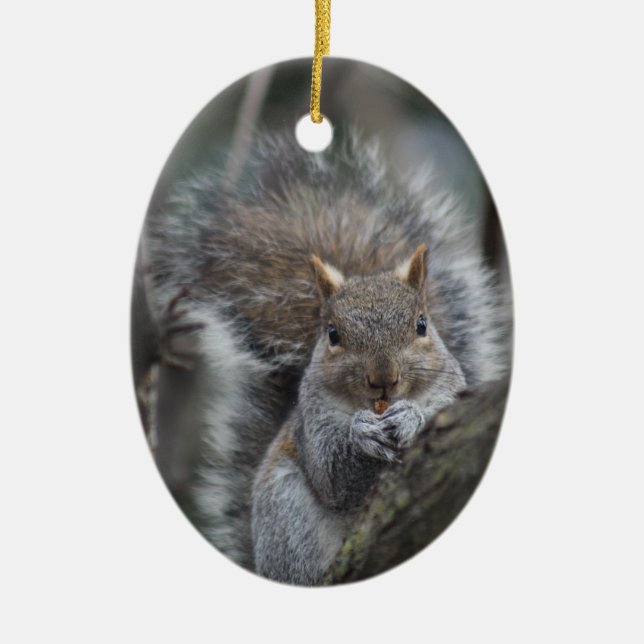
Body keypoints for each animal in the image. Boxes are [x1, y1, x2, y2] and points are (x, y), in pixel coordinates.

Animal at [134, 128, 511, 584]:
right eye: (332, 334)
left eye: (422, 325)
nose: (383, 379)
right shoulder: (312, 422)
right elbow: (334, 477)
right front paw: (362, 434)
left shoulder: (451, 395)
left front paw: (409, 418)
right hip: (285, 514)